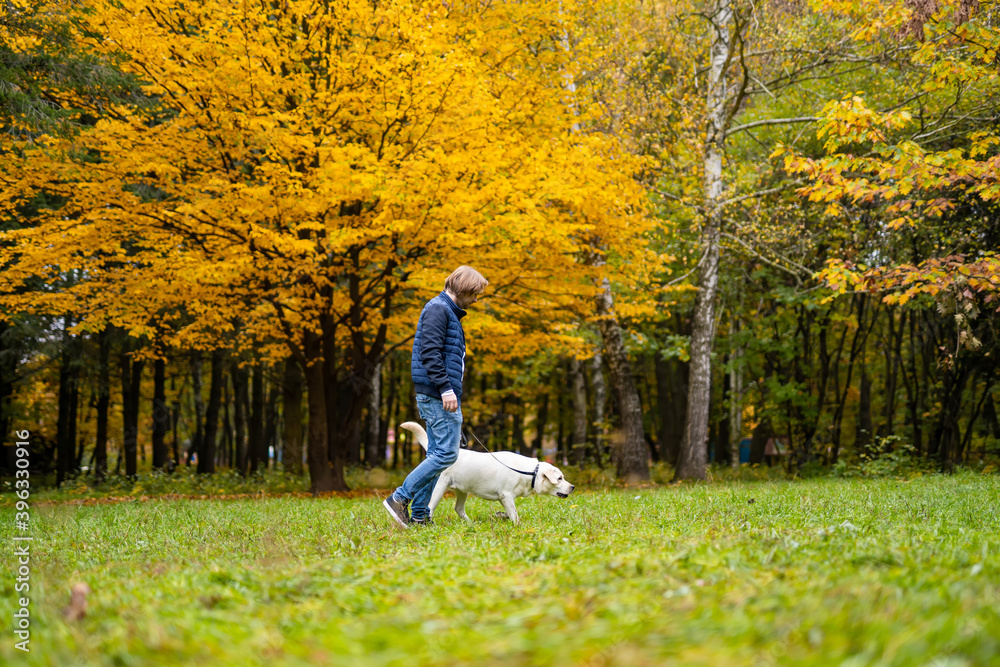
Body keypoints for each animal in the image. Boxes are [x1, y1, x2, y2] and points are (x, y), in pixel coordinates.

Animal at [396, 420, 572, 524]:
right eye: (559, 478)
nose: (573, 487)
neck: (529, 473)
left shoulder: (503, 498)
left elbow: (509, 512)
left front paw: (502, 516)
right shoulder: (507, 495)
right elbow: (515, 514)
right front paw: (517, 525)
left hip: (463, 490)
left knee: (458, 509)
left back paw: (469, 523)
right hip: (439, 488)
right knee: (429, 507)